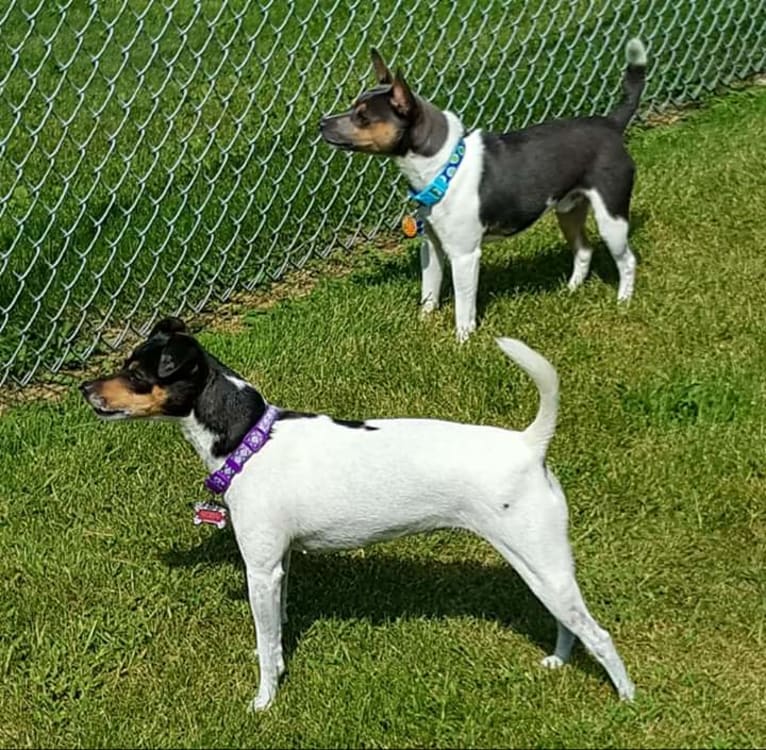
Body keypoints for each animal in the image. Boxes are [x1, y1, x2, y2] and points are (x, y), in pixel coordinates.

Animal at [318, 38, 648, 338]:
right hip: (568, 209)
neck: (443, 167)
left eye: (362, 117)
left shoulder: (464, 255)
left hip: (611, 217)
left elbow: (464, 305)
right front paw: (423, 324)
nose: (321, 122)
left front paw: (463, 340)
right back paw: (571, 289)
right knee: (583, 249)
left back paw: (623, 302)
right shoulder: (432, 246)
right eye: (352, 106)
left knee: (627, 260)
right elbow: (429, 292)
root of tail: (611, 124)